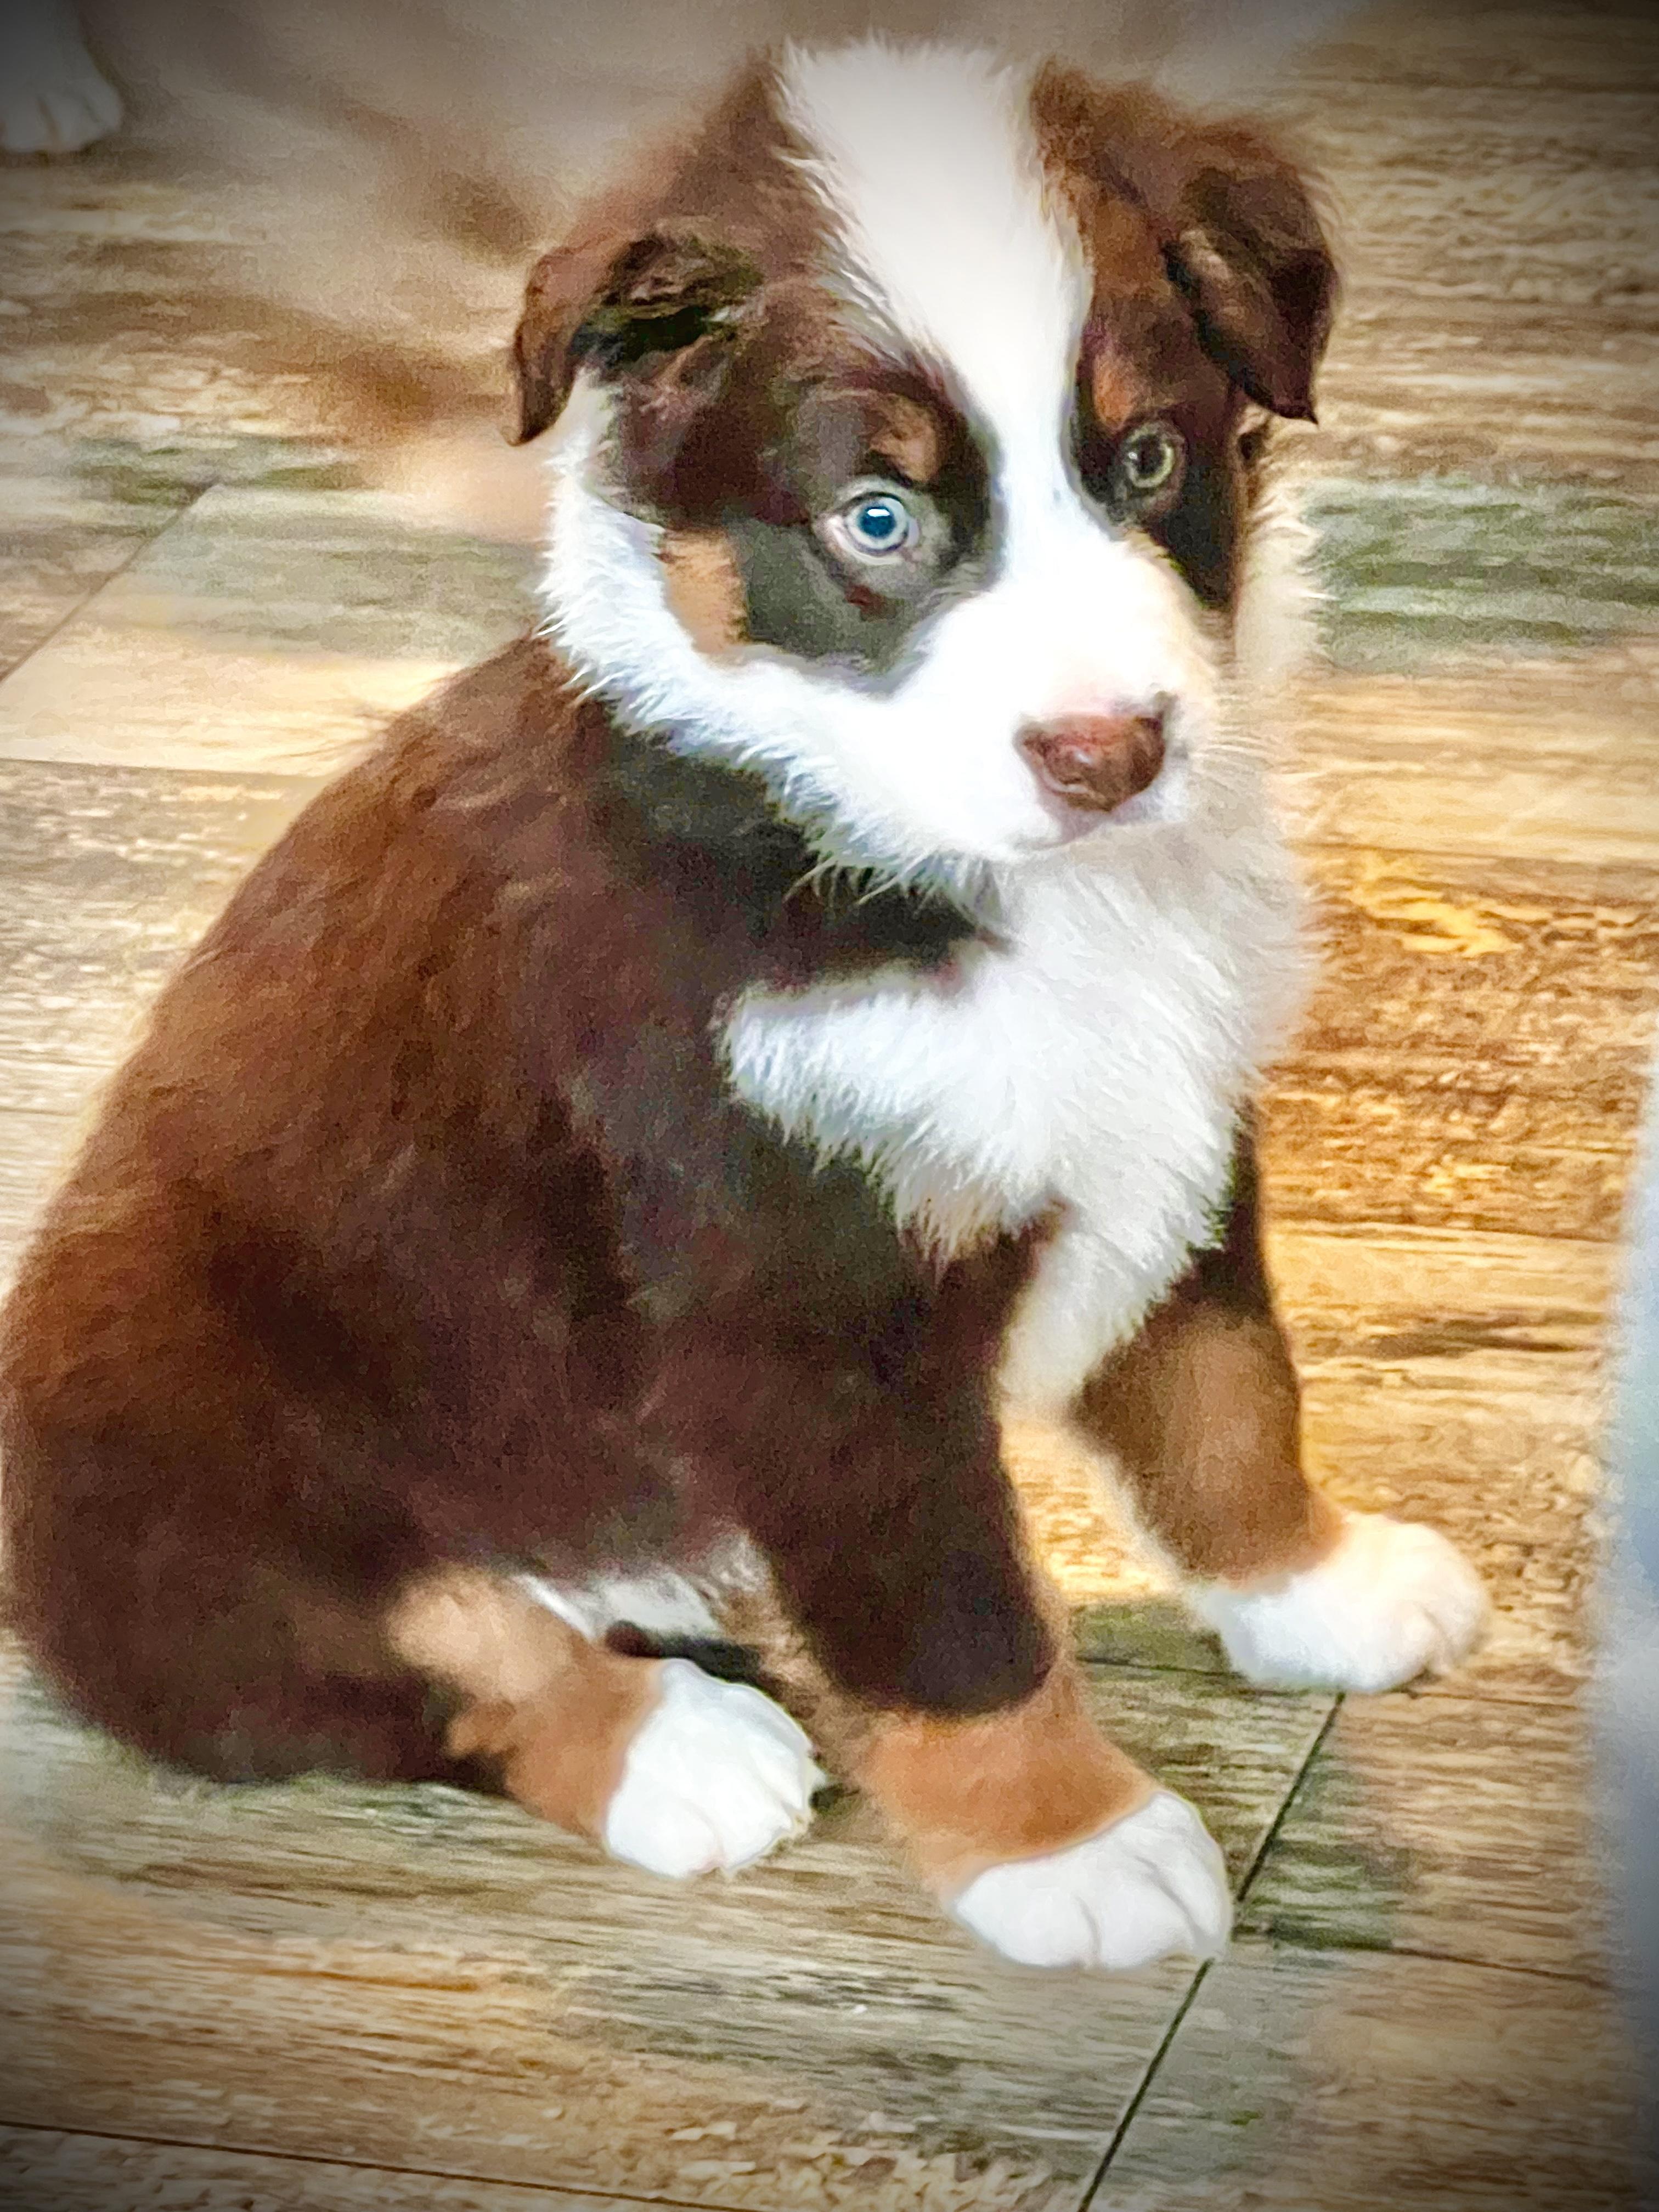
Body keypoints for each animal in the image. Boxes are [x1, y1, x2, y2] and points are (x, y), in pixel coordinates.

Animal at [0, 39, 1490, 1972]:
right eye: (879, 519)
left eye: (1150, 457)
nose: (1110, 753)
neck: (896, 857)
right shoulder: (795, 1310)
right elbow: (951, 1613)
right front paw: (1069, 1849)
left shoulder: (1179, 1130)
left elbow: (1229, 1397)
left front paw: (1317, 1588)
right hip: (175, 1430)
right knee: (388, 1663)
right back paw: (680, 1752)